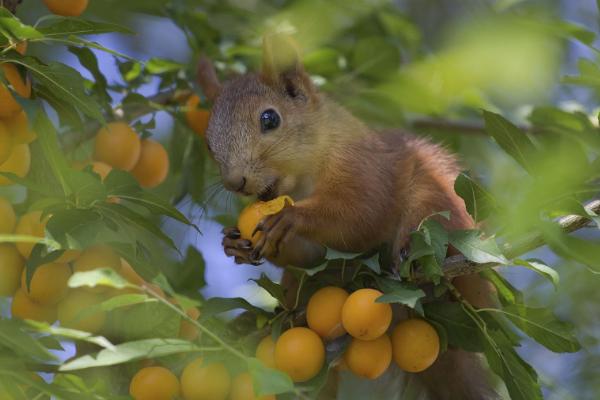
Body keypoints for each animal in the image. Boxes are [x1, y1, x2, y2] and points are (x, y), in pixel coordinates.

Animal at [196, 35, 496, 400]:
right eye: (208, 143)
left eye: (270, 119)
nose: (234, 182)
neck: (305, 179)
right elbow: (311, 255)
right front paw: (235, 244)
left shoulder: (363, 166)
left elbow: (362, 211)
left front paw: (291, 217)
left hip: (440, 205)